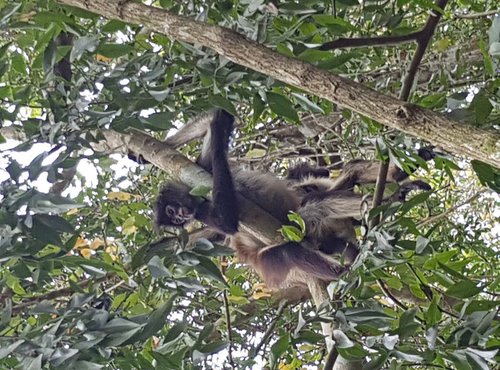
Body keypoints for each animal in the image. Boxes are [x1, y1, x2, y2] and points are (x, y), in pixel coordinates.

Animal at [154, 110, 432, 290]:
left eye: (172, 212)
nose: (180, 217)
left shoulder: (201, 171)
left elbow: (217, 119)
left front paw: (152, 149)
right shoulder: (202, 211)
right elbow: (226, 223)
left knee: (341, 180)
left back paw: (395, 182)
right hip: (279, 252)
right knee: (299, 236)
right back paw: (350, 267)